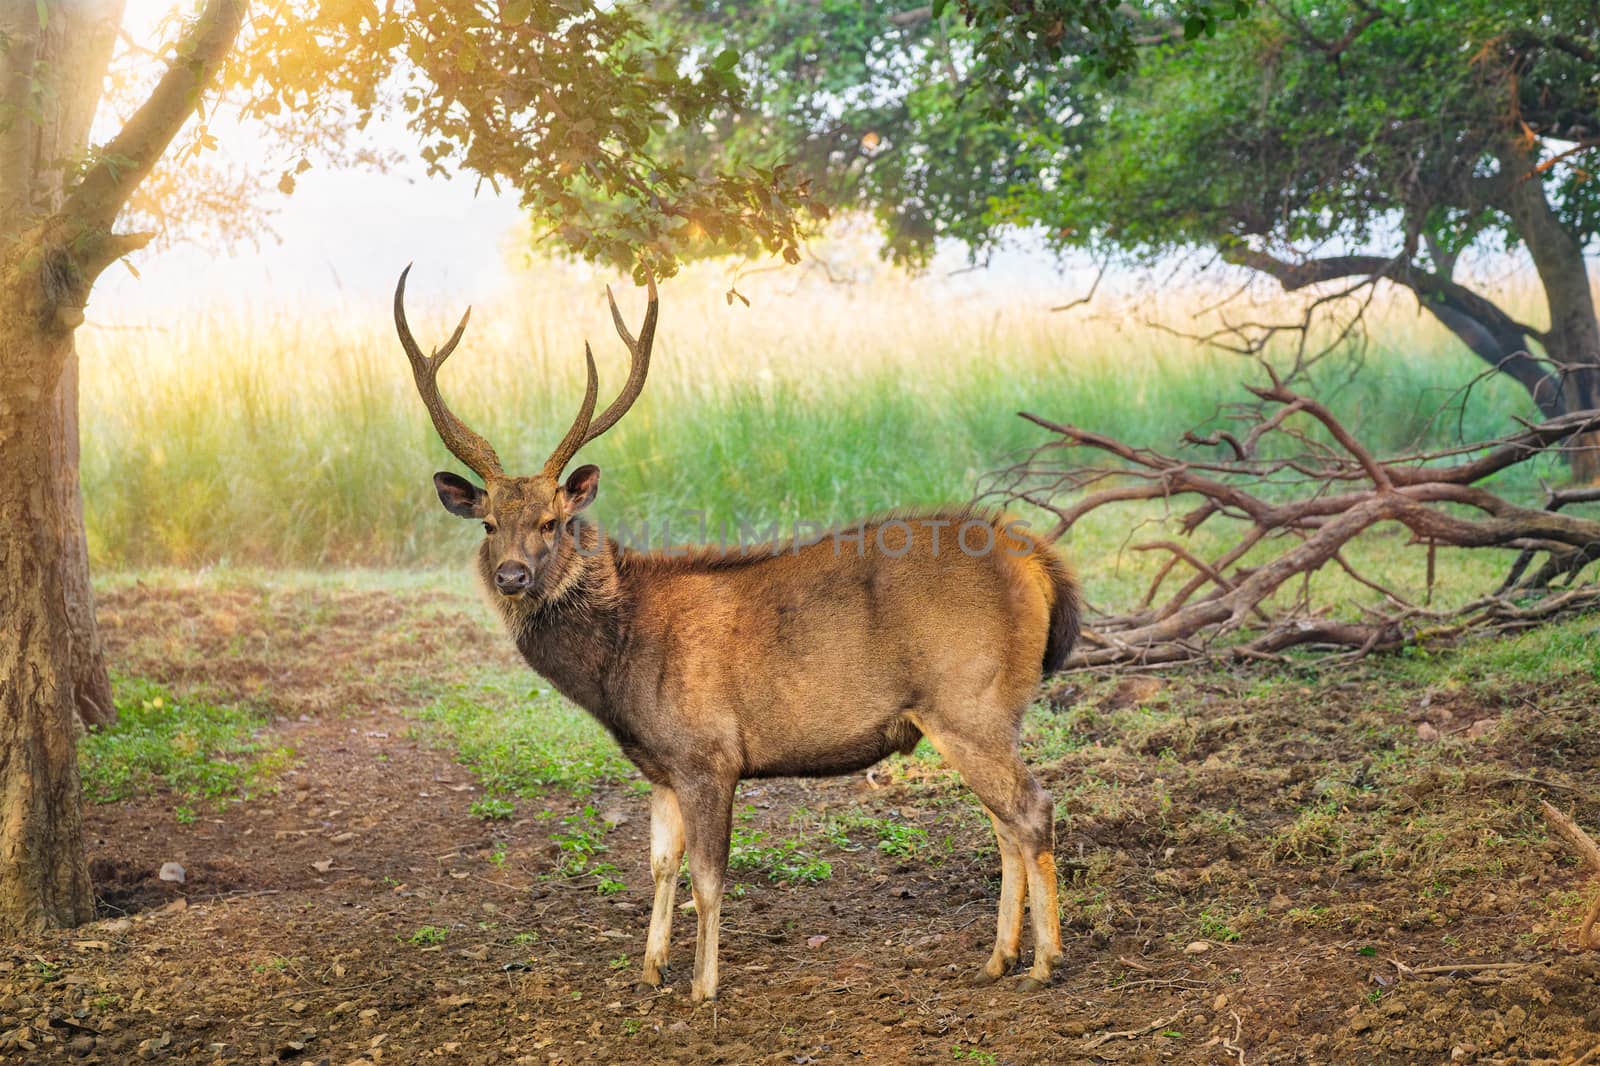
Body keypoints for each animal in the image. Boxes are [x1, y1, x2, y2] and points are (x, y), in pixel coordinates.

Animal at [393, 264, 1081, 998]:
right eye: (489, 524)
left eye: (552, 522)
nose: (513, 576)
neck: (617, 664)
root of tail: (1037, 561)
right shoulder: (661, 766)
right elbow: (661, 866)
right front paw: (651, 968)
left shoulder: (708, 753)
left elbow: (709, 878)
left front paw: (703, 985)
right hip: (979, 715)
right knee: (1004, 824)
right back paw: (999, 957)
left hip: (969, 701)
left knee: (1031, 810)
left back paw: (1044, 961)